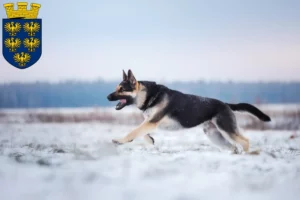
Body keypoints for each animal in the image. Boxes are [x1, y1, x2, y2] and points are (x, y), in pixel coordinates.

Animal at [106, 69, 270, 152]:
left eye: (121, 90)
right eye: (116, 88)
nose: (107, 97)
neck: (149, 95)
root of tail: (225, 104)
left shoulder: (152, 122)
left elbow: (133, 131)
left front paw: (119, 140)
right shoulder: (150, 122)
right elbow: (141, 132)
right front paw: (150, 140)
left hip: (226, 129)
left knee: (245, 141)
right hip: (215, 135)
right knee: (233, 146)